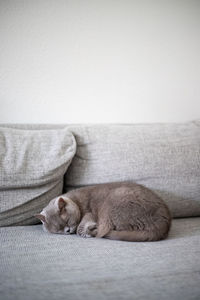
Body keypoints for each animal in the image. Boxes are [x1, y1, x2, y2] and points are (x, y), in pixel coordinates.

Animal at [35, 180, 171, 241]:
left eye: (68, 221)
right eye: (58, 230)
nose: (67, 231)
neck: (76, 200)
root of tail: (163, 225)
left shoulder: (89, 213)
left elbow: (81, 227)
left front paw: (86, 230)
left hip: (112, 201)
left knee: (105, 229)